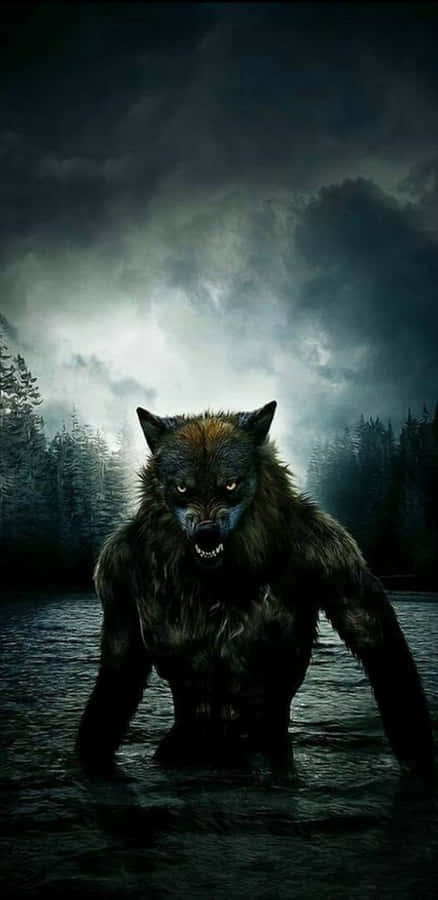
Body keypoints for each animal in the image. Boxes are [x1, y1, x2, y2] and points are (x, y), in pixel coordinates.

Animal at [77, 401, 435, 777]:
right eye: (182, 489)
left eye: (231, 485)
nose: (206, 534)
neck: (216, 578)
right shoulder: (117, 569)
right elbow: (119, 670)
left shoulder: (331, 551)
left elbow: (377, 642)